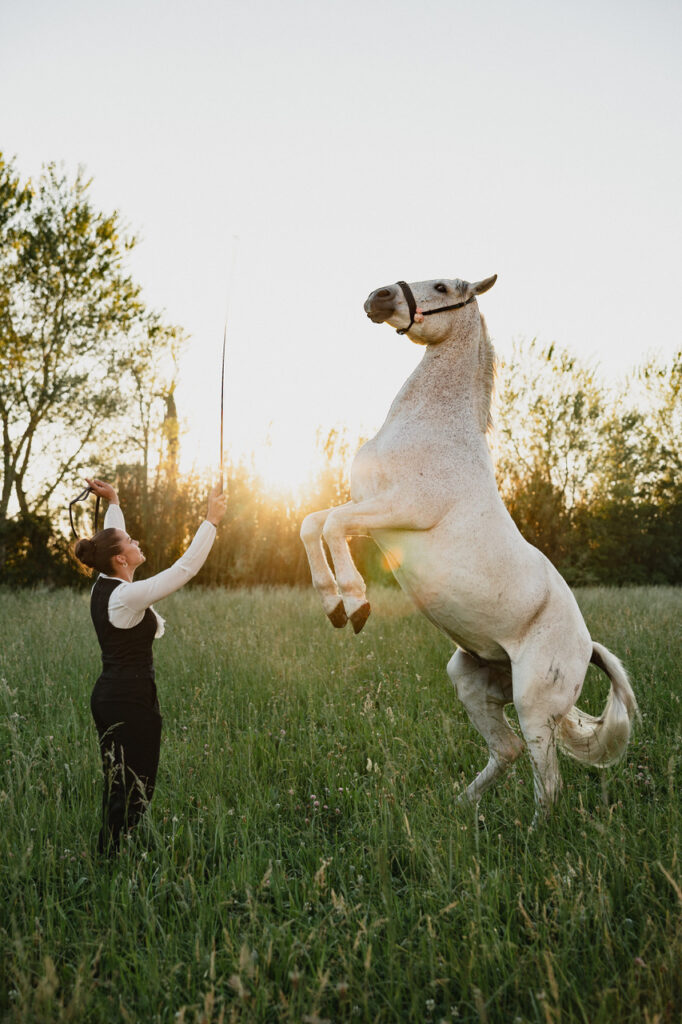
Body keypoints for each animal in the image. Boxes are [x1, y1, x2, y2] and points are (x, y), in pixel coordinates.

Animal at [301, 274, 634, 815]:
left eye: (441, 286)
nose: (377, 298)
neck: (433, 431)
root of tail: (588, 649)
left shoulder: (401, 509)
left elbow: (329, 527)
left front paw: (355, 605)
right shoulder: (371, 511)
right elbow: (314, 524)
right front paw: (334, 607)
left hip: (534, 706)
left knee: (548, 783)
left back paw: (528, 832)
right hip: (471, 681)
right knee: (507, 750)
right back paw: (459, 808)